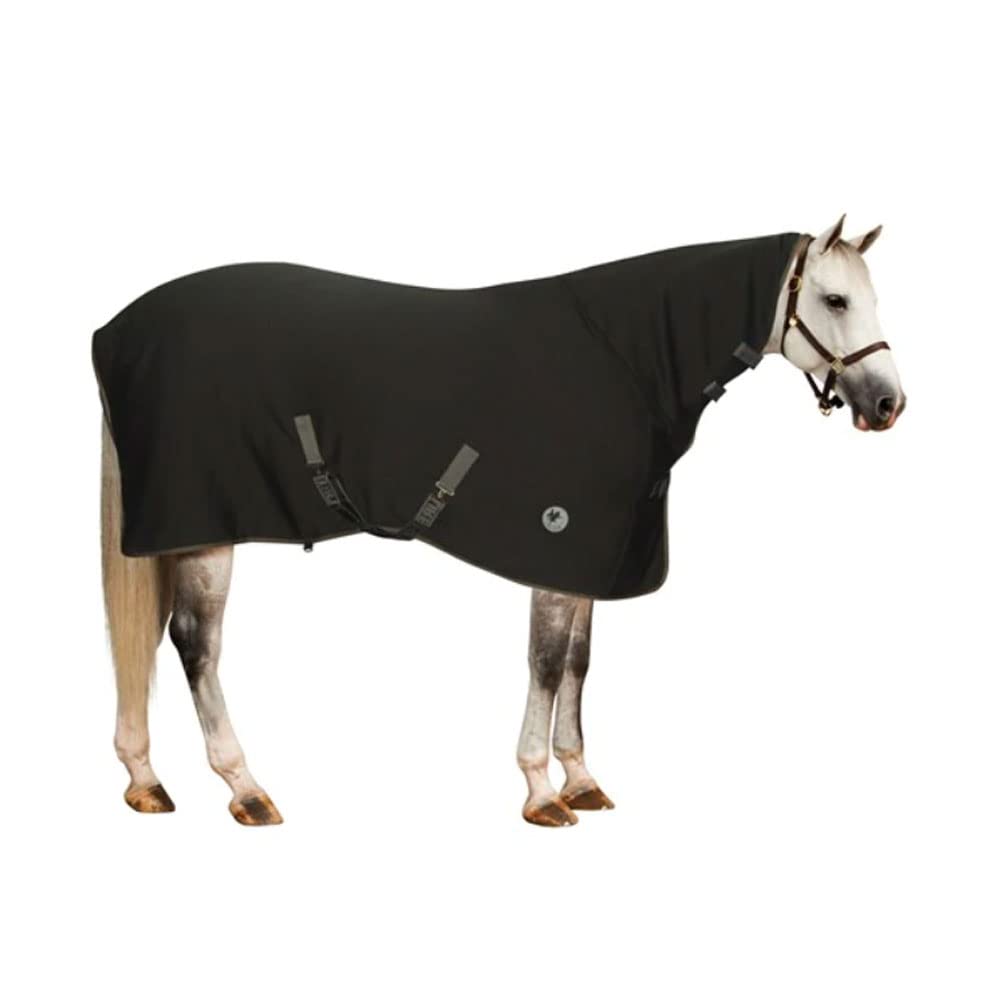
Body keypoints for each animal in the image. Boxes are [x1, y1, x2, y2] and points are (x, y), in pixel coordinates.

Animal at [97, 214, 905, 826]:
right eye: (835, 300)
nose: (887, 403)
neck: (626, 357)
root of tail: (116, 331)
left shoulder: (589, 555)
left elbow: (578, 663)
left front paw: (581, 779)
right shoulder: (554, 542)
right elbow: (545, 663)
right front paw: (542, 791)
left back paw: (145, 779)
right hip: (205, 528)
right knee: (195, 645)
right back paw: (244, 787)